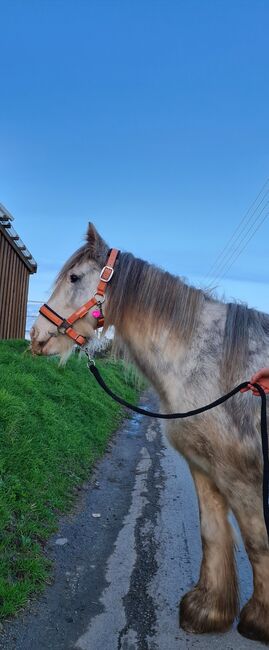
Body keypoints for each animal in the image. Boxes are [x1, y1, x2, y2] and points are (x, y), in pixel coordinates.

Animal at [30, 223, 268, 644]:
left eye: (74, 278)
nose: (36, 336)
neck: (212, 364)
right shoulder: (204, 468)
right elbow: (212, 533)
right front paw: (207, 611)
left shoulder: (242, 475)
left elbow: (256, 543)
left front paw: (258, 621)